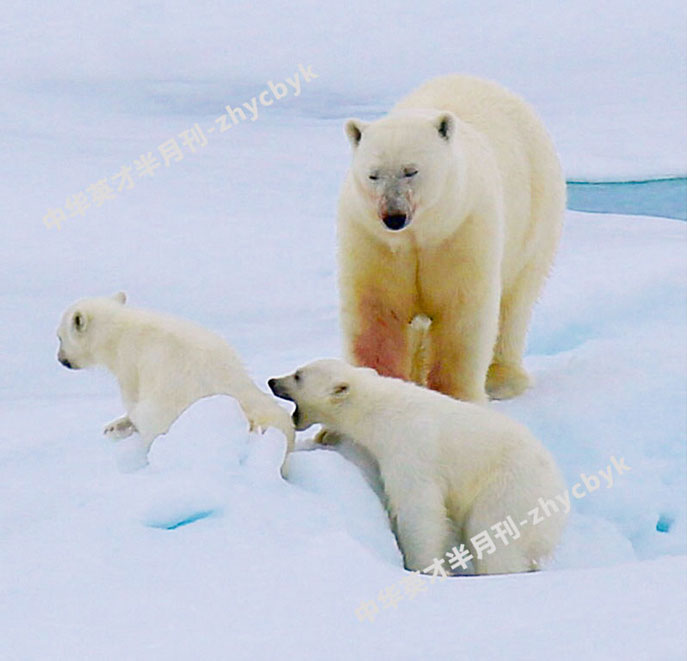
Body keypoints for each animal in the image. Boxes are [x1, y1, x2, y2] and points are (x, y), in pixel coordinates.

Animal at [338, 75, 564, 400]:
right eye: (373, 174)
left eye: (411, 171)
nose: (393, 216)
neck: (420, 233)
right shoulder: (371, 237)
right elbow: (376, 311)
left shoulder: (460, 229)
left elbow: (461, 314)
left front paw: (456, 397)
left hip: (537, 215)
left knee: (516, 299)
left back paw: (502, 378)